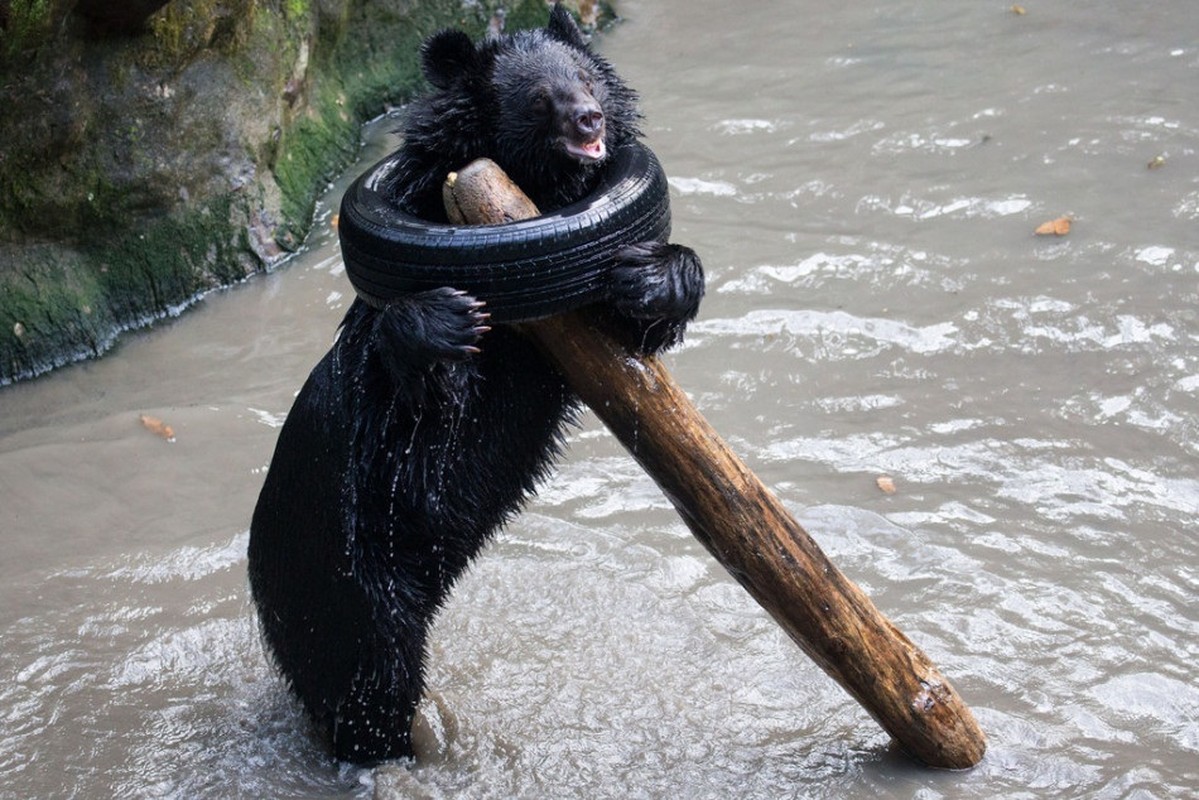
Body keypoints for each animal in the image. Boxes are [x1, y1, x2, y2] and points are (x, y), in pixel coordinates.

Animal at [249, 3, 705, 762]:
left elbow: (632, 330)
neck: (534, 188)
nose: (590, 119)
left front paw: (653, 276)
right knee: (370, 678)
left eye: (587, 80)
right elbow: (417, 399)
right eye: (541, 98)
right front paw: (446, 319)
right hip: (345, 579)